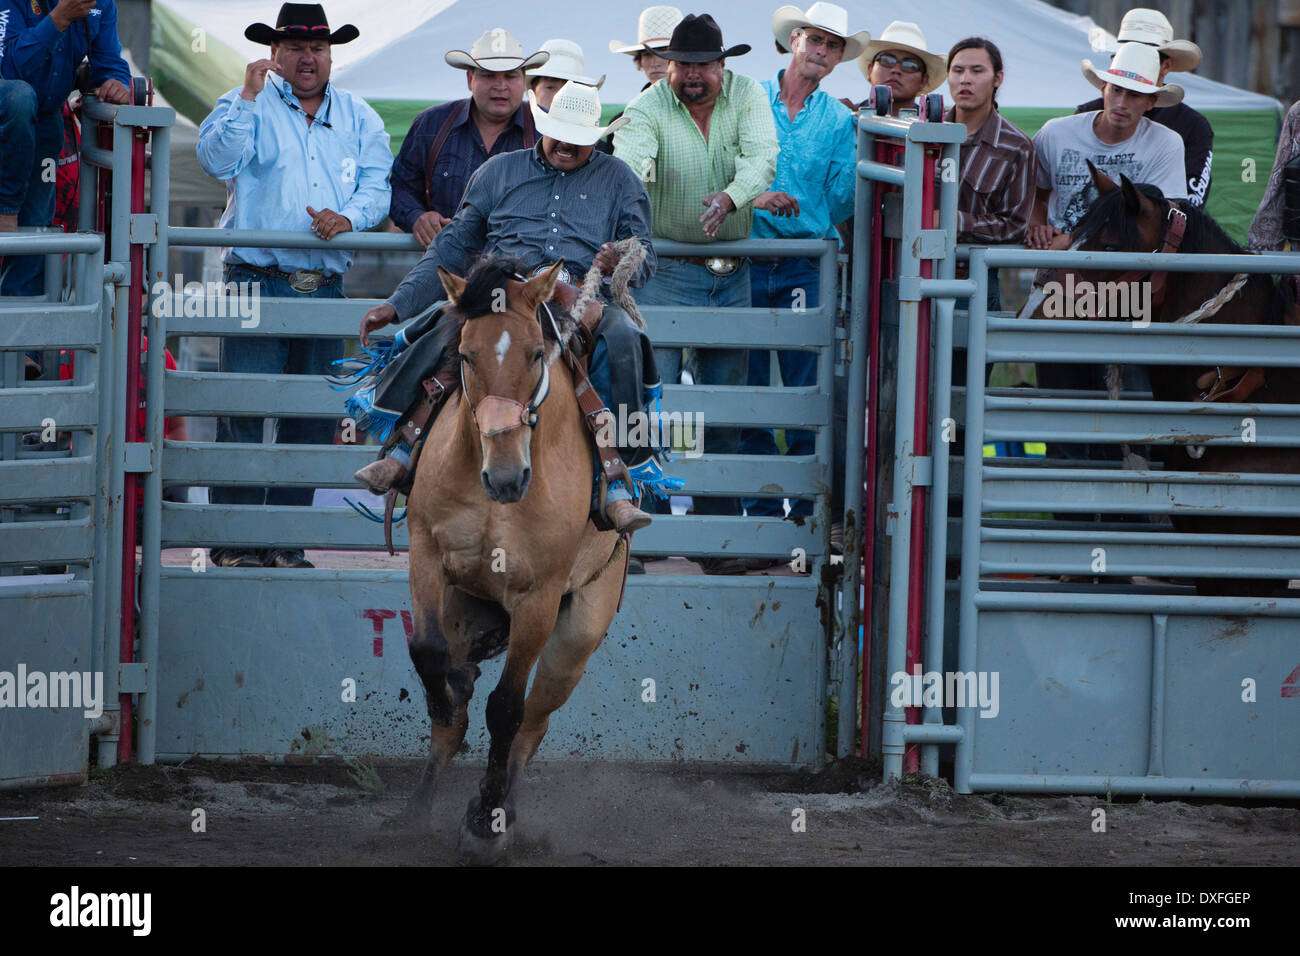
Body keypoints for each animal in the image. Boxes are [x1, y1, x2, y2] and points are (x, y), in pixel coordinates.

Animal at [403, 256, 631, 858]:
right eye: (463, 354)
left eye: (534, 353)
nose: (507, 477)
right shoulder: (425, 553)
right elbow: (428, 655)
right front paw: (446, 698)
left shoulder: (539, 599)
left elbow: (505, 708)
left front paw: (484, 822)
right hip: (462, 606)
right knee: (457, 711)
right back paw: (416, 811)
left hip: (575, 641)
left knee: (531, 726)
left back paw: (500, 812)